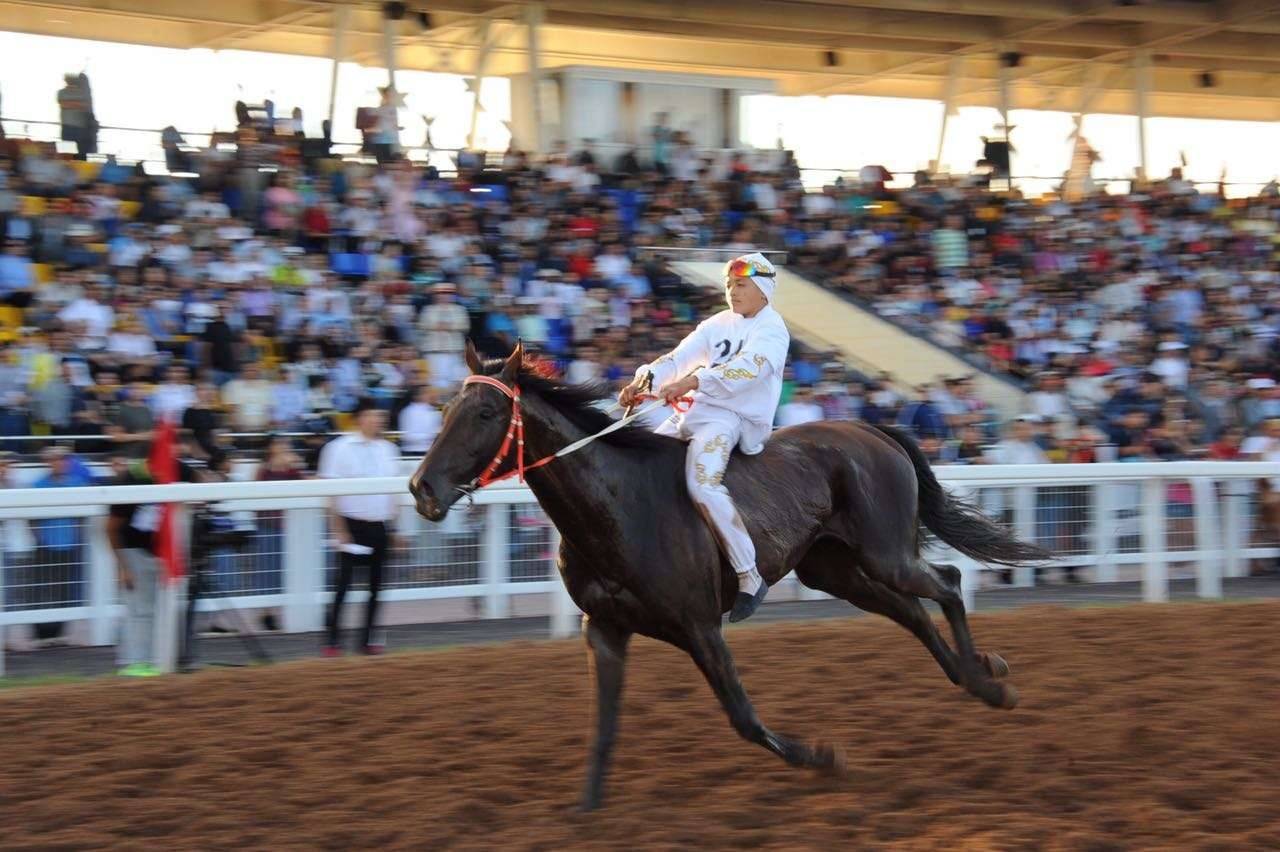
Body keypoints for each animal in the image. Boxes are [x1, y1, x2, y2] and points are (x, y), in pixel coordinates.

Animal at [412, 340, 1049, 808]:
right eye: (446, 411)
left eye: (486, 413)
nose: (422, 488)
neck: (619, 504)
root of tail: (871, 430)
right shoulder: (606, 628)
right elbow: (604, 725)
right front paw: (585, 808)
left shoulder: (699, 625)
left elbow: (741, 716)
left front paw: (822, 757)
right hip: (836, 570)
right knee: (914, 610)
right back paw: (976, 675)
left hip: (884, 554)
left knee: (948, 581)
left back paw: (988, 680)